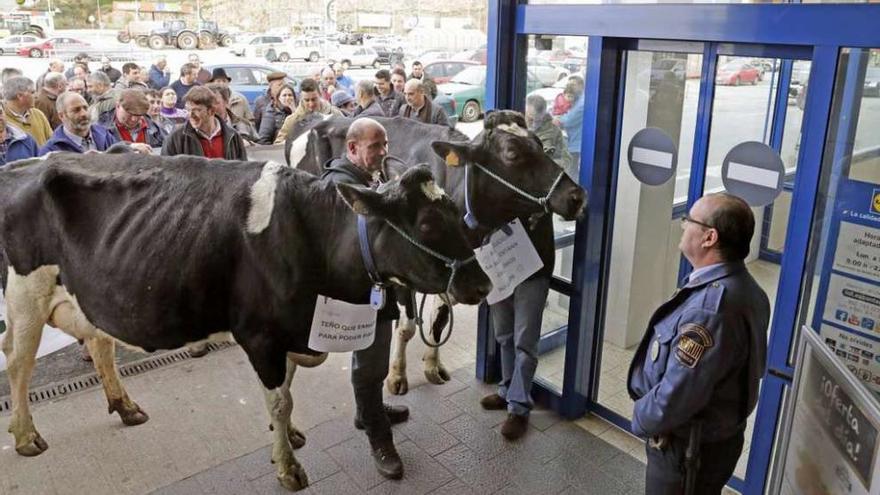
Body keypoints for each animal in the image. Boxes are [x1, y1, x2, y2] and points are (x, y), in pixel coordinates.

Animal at [0, 152, 488, 492]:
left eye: (455, 212)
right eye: (426, 224)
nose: (482, 284)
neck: (314, 236)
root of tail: (24, 163)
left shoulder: (291, 331)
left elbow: (287, 387)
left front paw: (288, 437)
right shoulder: (261, 334)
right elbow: (280, 399)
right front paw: (288, 467)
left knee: (99, 342)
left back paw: (125, 406)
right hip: (24, 295)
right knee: (19, 364)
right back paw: (26, 436)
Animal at [286, 111, 588, 396]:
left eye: (541, 145)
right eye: (512, 153)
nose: (576, 196)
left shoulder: (455, 269)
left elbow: (439, 321)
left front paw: (432, 366)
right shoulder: (403, 270)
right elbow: (407, 327)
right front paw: (397, 375)